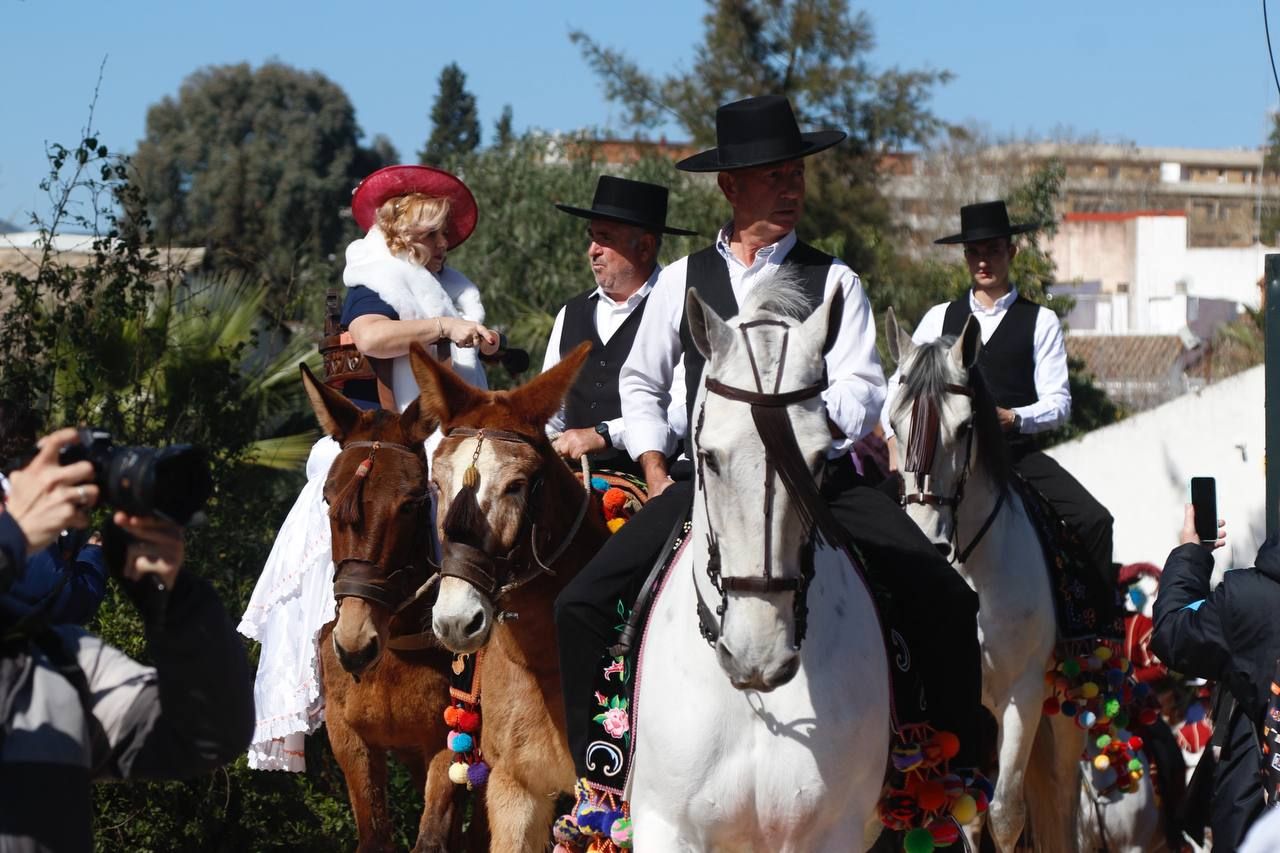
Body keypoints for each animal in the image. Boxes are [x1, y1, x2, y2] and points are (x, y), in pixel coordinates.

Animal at [885, 312, 1085, 850]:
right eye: (893, 424)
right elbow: (969, 815)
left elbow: (1006, 815)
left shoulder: (1022, 696)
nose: (926, 537)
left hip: (1064, 710)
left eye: (965, 426)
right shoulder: (956, 708)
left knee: (1063, 797)